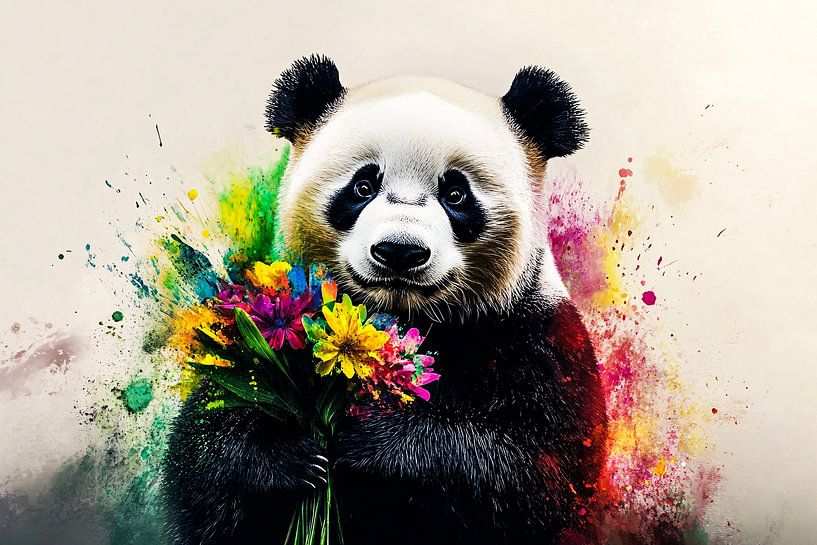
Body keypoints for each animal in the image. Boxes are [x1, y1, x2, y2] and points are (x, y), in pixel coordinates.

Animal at [162, 55, 608, 545]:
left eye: (456, 194)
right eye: (363, 186)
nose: (399, 250)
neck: (408, 316)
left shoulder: (538, 341)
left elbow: (536, 470)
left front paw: (374, 437)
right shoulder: (242, 353)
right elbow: (206, 454)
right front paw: (293, 454)